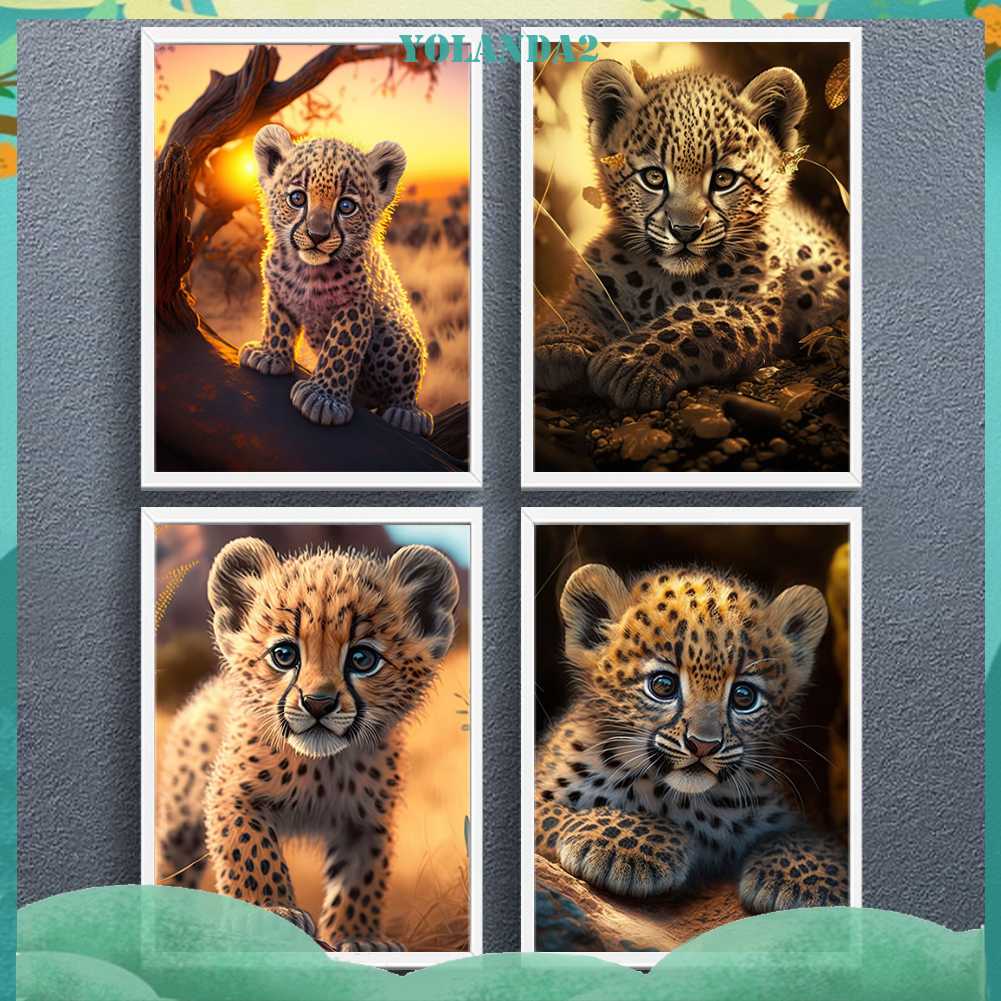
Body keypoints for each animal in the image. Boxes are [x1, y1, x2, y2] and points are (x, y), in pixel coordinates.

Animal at [157, 537, 460, 952]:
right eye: (284, 655)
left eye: (363, 659)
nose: (318, 703)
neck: (322, 767)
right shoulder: (232, 792)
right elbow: (251, 850)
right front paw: (270, 909)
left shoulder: (367, 820)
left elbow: (362, 878)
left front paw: (359, 936)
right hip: (180, 812)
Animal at [240, 124, 433, 436]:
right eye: (297, 198)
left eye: (346, 206)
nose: (317, 235)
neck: (307, 272)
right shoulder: (277, 289)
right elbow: (277, 322)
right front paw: (270, 355)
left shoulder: (356, 305)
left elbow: (340, 349)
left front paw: (324, 399)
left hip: (396, 334)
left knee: (406, 381)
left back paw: (408, 414)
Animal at [535, 59, 850, 412]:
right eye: (654, 177)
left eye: (724, 179)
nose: (685, 230)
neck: (666, 282)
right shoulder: (593, 284)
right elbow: (574, 306)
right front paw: (559, 346)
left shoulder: (756, 308)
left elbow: (701, 317)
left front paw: (630, 362)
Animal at [535, 561, 849, 914]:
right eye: (663, 685)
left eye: (744, 696)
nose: (704, 745)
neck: (680, 801)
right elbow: (553, 812)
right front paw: (627, 843)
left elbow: (810, 838)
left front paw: (804, 880)